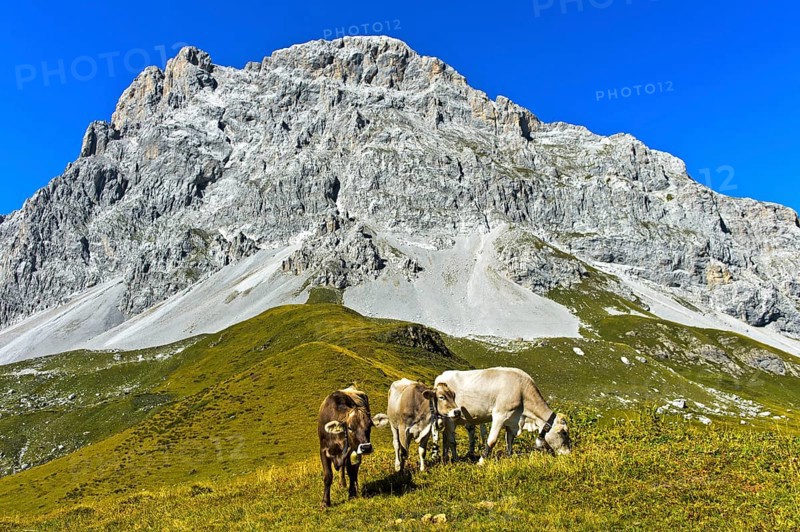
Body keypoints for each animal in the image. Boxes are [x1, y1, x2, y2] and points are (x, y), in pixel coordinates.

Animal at [434, 367, 570, 464]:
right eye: (564, 432)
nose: (568, 453)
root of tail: (441, 377)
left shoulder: (512, 420)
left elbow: (509, 440)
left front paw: (509, 456)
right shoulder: (499, 415)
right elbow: (491, 440)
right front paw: (481, 461)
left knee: (445, 437)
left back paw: (445, 458)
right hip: (449, 418)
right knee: (450, 439)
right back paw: (454, 459)